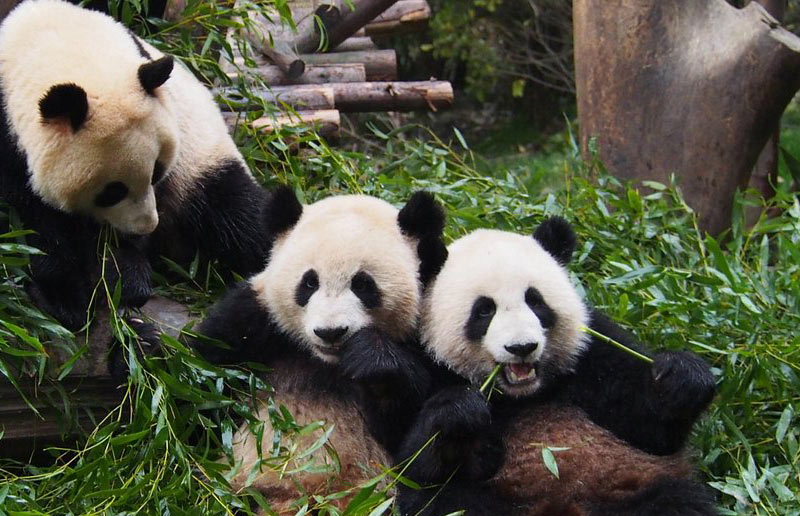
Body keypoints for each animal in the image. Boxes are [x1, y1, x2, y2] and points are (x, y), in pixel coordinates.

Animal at [0, 0, 270, 331]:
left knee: (244, 218)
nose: (147, 225)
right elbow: (36, 225)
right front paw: (66, 299)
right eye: (112, 191)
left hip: (204, 164)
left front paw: (125, 277)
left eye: (157, 172)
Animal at [192, 186, 445, 513]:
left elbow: (415, 437)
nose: (330, 332)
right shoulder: (253, 321)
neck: (326, 363)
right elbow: (202, 380)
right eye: (309, 283)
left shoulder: (425, 341)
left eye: (363, 285)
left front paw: (373, 361)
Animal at [396, 217, 717, 516]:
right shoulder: (429, 363)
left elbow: (650, 429)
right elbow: (416, 462)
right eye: (484, 310)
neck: (522, 396)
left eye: (535, 301)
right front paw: (460, 411)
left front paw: (681, 376)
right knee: (451, 503)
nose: (522, 347)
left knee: (674, 501)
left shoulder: (591, 353)